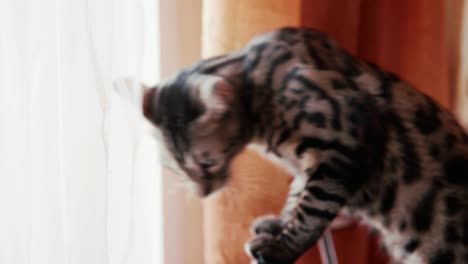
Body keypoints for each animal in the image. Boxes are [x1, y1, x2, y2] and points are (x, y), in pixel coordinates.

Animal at [133, 27, 468, 262]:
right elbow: (298, 194)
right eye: (176, 169)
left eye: (208, 163)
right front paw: (279, 225)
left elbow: (312, 207)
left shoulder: (344, 141)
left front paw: (282, 247)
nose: (203, 194)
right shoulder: (312, 163)